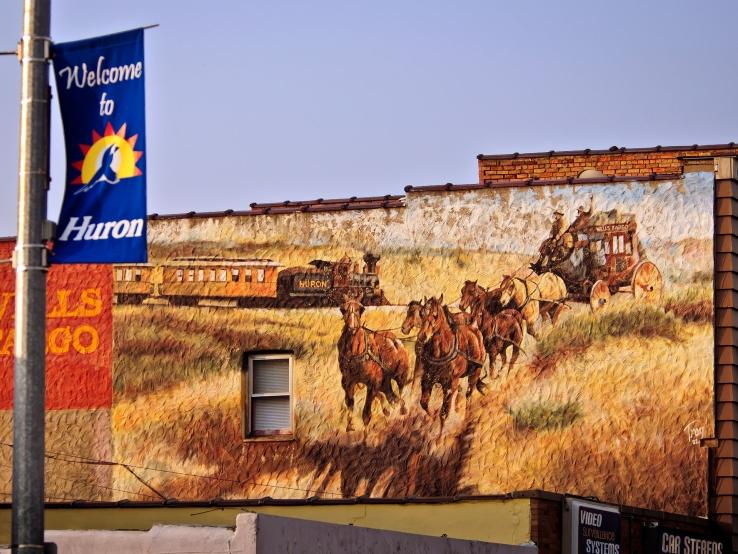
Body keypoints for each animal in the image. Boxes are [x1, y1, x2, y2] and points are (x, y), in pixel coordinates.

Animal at [338, 294, 408, 432]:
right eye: (342, 309)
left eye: (361, 309)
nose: (352, 328)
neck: (354, 353)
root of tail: (397, 341)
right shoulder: (348, 383)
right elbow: (350, 404)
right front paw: (350, 426)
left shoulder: (373, 385)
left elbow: (366, 415)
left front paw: (366, 434)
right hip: (385, 384)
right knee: (393, 398)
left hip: (400, 378)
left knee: (400, 397)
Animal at [416, 296, 486, 424]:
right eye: (421, 313)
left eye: (435, 315)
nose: (422, 337)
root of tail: (474, 327)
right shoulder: (427, 380)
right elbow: (424, 403)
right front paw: (432, 416)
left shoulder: (450, 385)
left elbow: (444, 414)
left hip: (475, 373)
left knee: (469, 395)